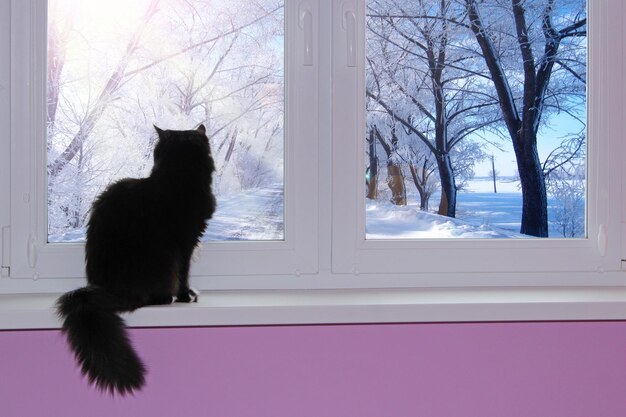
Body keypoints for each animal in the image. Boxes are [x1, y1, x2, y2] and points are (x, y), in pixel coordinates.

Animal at [56, 123, 217, 394]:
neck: (178, 177)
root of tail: (102, 292)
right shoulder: (185, 245)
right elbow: (184, 275)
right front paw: (187, 296)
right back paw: (165, 298)